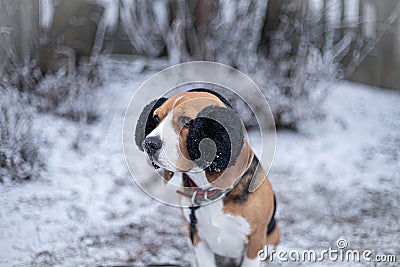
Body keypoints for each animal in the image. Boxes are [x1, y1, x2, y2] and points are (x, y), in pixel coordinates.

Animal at [134, 90, 278, 267]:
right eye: (156, 118)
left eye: (187, 121)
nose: (148, 144)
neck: (208, 189)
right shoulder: (198, 239)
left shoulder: (255, 241)